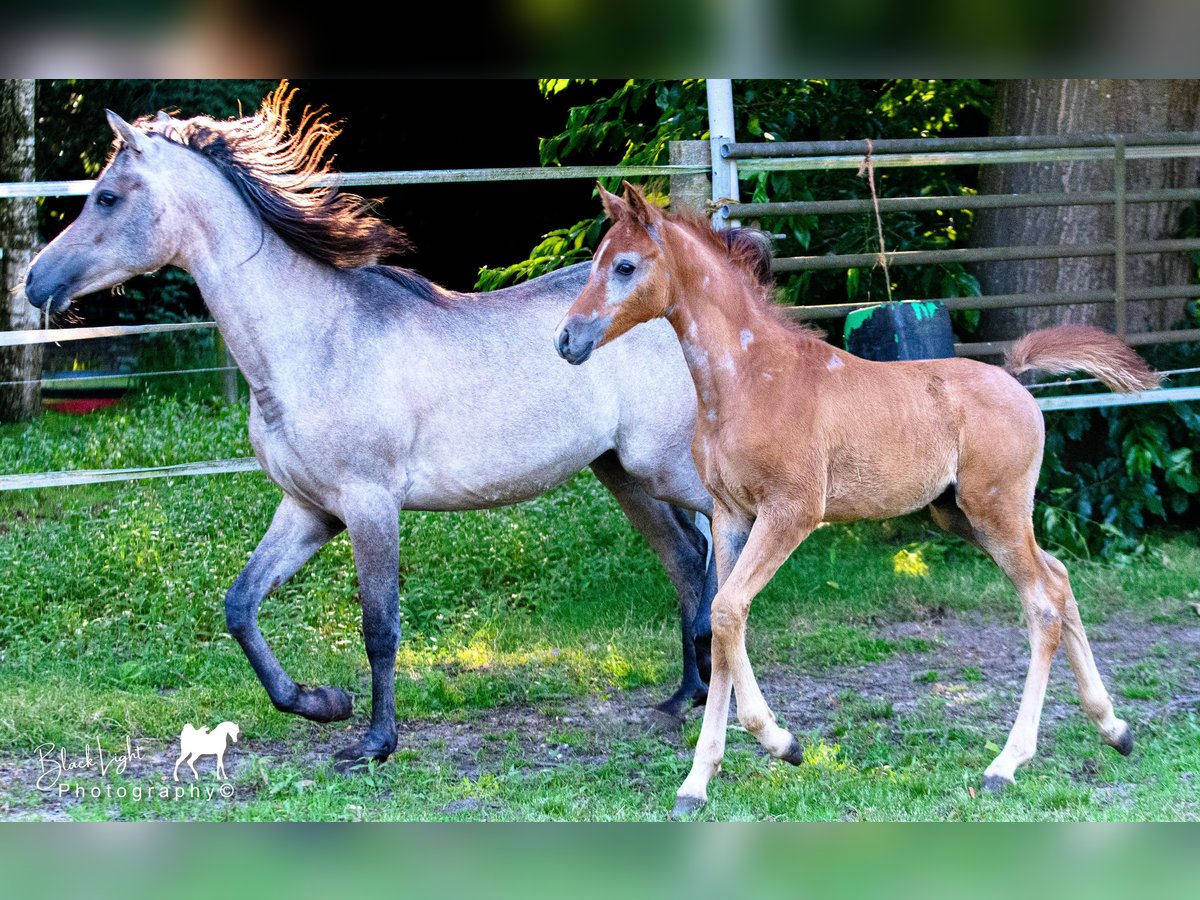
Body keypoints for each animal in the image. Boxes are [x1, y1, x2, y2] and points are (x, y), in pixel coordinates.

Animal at [25, 88, 710, 768]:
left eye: (107, 197)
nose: (35, 282)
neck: (315, 343)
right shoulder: (309, 507)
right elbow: (240, 605)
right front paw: (323, 702)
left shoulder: (370, 504)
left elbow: (380, 627)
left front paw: (375, 743)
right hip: (626, 473)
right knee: (688, 560)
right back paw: (684, 697)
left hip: (668, 467)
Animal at [554, 181, 1161, 816]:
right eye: (595, 263)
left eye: (625, 266)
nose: (567, 339)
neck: (747, 377)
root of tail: (1017, 381)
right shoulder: (729, 515)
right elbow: (722, 623)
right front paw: (697, 783)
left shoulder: (792, 512)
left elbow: (726, 611)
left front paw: (782, 743)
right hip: (963, 516)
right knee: (1060, 578)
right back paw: (1113, 728)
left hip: (996, 511)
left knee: (1041, 605)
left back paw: (1006, 763)